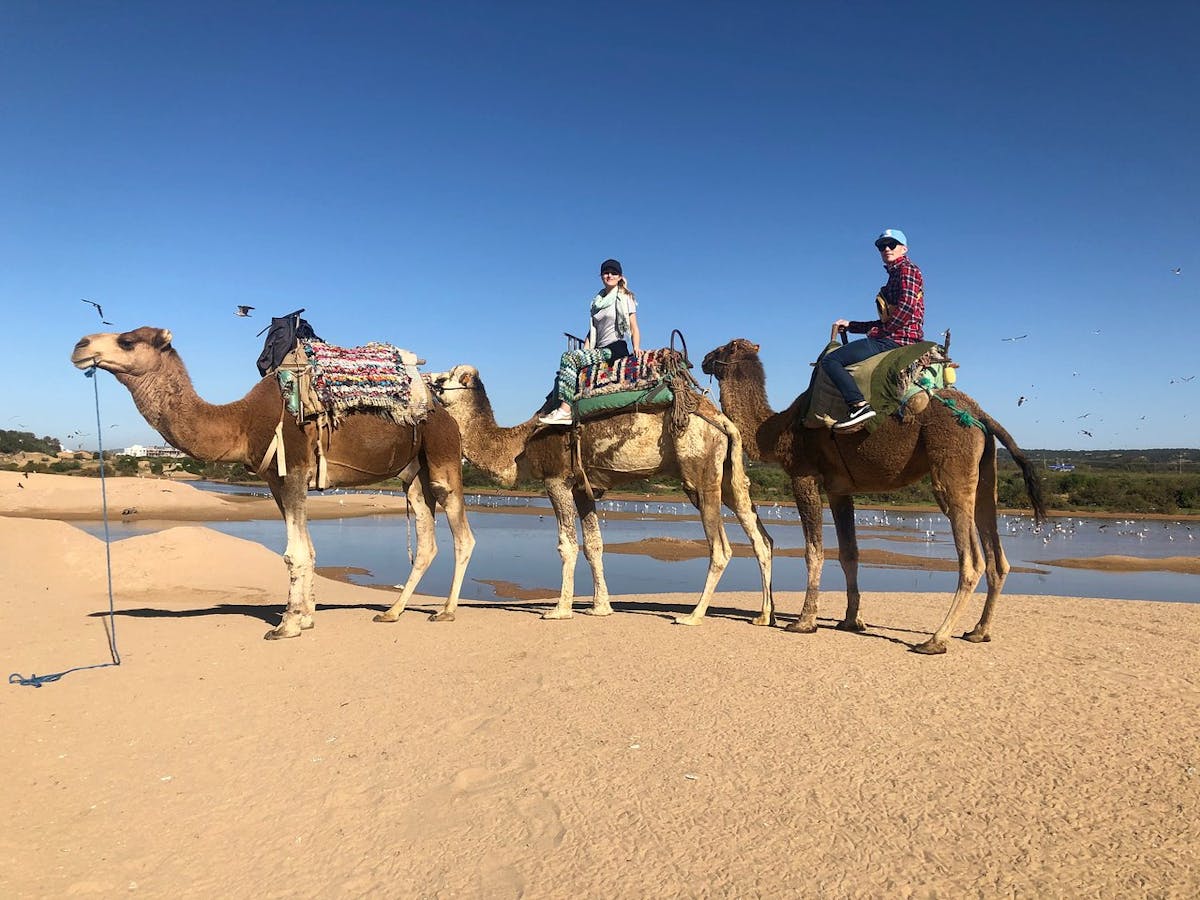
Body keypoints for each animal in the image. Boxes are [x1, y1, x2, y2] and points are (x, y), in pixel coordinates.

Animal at [71, 326, 475, 640]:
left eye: (126, 340)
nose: (80, 345)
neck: (243, 422)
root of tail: (442, 410)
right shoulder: (276, 482)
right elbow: (307, 549)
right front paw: (306, 618)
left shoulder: (293, 469)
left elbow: (294, 553)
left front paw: (287, 626)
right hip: (413, 473)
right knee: (425, 538)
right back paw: (391, 612)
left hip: (442, 454)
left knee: (462, 533)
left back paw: (446, 611)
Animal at [430, 364, 775, 625]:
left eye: (444, 378)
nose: (428, 378)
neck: (519, 446)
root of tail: (719, 417)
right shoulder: (585, 488)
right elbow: (594, 545)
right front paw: (600, 607)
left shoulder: (556, 479)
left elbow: (567, 544)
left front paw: (560, 610)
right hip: (729, 474)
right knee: (761, 538)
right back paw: (762, 616)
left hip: (699, 472)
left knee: (721, 548)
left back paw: (693, 616)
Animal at [701, 338, 1047, 654]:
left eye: (724, 348)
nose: (703, 359)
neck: (775, 431)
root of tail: (980, 414)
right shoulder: (840, 489)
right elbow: (849, 553)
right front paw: (851, 620)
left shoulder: (803, 476)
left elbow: (814, 551)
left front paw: (804, 621)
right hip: (986, 471)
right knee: (996, 555)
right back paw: (978, 631)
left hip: (952, 465)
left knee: (971, 560)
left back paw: (935, 640)